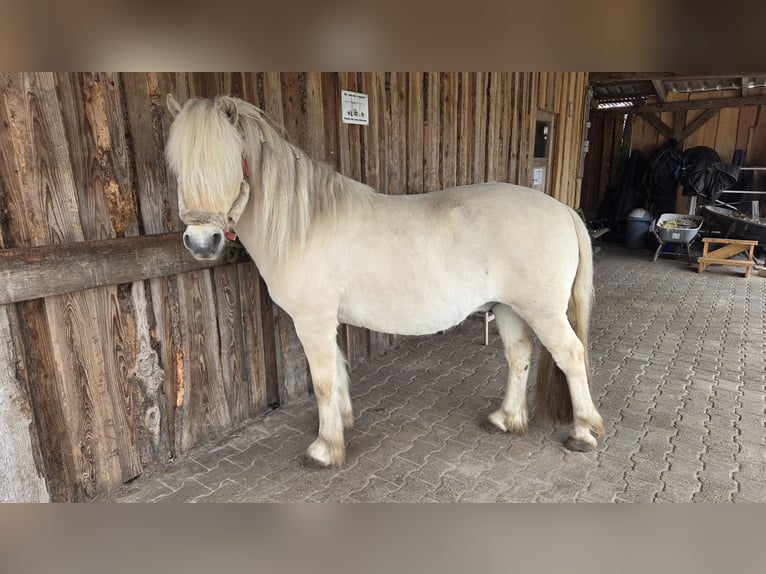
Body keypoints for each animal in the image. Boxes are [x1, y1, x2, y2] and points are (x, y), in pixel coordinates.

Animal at [165, 94, 605, 468]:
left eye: (230, 164)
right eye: (176, 168)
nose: (202, 243)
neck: (304, 225)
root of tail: (564, 210)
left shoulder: (312, 321)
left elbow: (322, 381)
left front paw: (325, 449)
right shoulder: (327, 321)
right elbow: (338, 371)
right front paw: (341, 424)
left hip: (542, 312)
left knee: (570, 355)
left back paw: (583, 432)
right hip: (508, 307)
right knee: (519, 356)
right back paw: (505, 418)